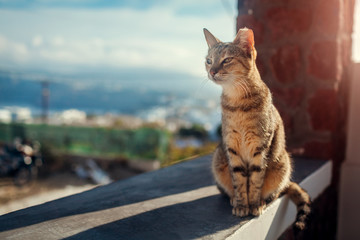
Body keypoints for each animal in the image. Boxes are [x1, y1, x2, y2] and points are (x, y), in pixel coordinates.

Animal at [204, 27, 310, 231]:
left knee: (277, 191)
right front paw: (241, 204)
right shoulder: (232, 147)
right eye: (209, 60)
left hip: (282, 161)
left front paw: (253, 204)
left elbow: (255, 181)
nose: (212, 71)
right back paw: (233, 199)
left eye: (226, 60)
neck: (237, 103)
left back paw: (263, 200)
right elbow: (238, 181)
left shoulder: (260, 147)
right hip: (219, 157)